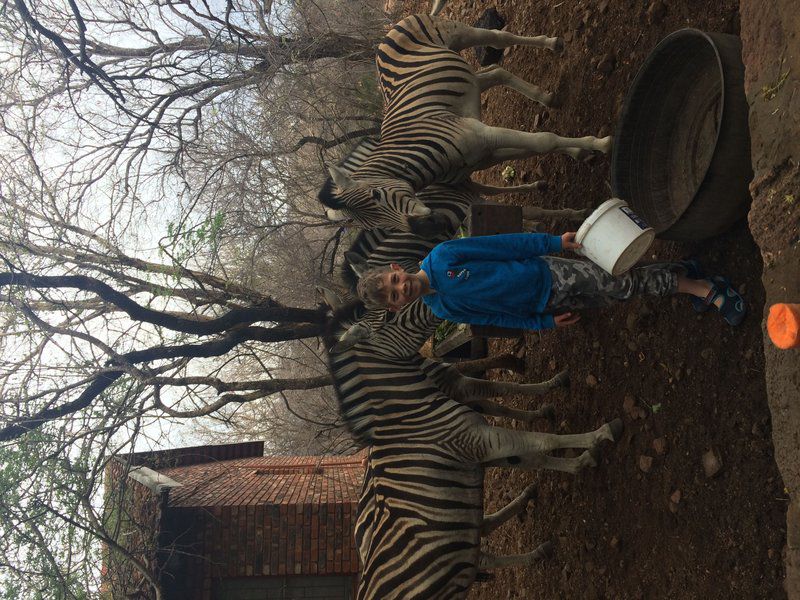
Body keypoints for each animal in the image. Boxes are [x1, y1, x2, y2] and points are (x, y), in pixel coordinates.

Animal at [316, 12, 608, 234]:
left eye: (377, 196)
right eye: (378, 227)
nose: (430, 228)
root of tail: (383, 40)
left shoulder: (482, 134)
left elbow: (543, 140)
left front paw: (602, 144)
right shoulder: (483, 153)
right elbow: (532, 148)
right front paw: (579, 151)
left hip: (458, 33)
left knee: (498, 36)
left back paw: (553, 44)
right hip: (468, 77)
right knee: (495, 72)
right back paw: (547, 97)